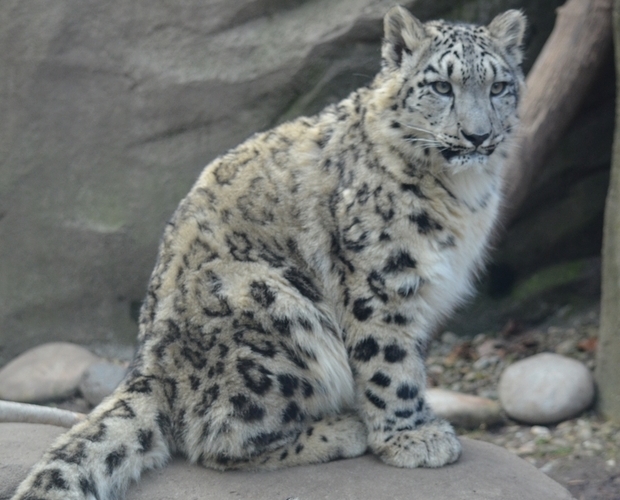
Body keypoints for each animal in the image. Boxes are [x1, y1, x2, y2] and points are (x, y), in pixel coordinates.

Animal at [12, 4, 524, 500]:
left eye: (499, 86)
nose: (478, 135)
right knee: (217, 439)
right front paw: (411, 436)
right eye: (441, 85)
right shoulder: (380, 277)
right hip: (271, 309)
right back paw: (340, 430)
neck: (463, 194)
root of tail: (149, 370)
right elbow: (388, 359)